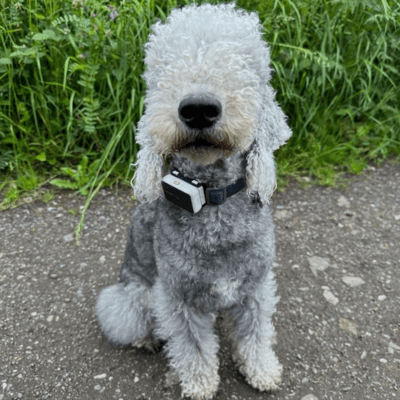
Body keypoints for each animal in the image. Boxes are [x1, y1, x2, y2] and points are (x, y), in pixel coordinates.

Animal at [95, 2, 292, 396]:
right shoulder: (177, 298)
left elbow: (255, 334)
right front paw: (201, 385)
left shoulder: (256, 288)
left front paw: (261, 370)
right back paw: (147, 339)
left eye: (243, 64)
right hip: (133, 295)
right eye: (162, 69)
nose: (199, 108)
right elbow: (193, 347)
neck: (212, 200)